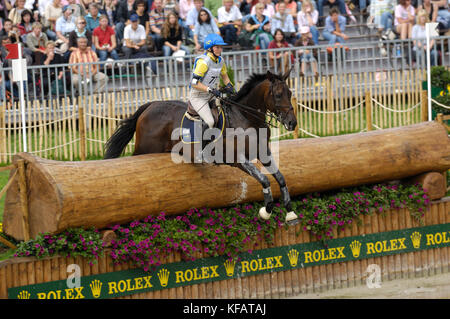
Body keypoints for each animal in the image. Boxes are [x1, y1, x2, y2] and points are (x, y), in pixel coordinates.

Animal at [103, 68, 298, 222]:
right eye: (278, 95)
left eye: (290, 93)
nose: (292, 123)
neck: (246, 117)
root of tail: (150, 106)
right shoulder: (238, 159)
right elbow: (264, 179)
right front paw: (267, 210)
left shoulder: (263, 153)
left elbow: (280, 178)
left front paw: (290, 213)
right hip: (144, 148)